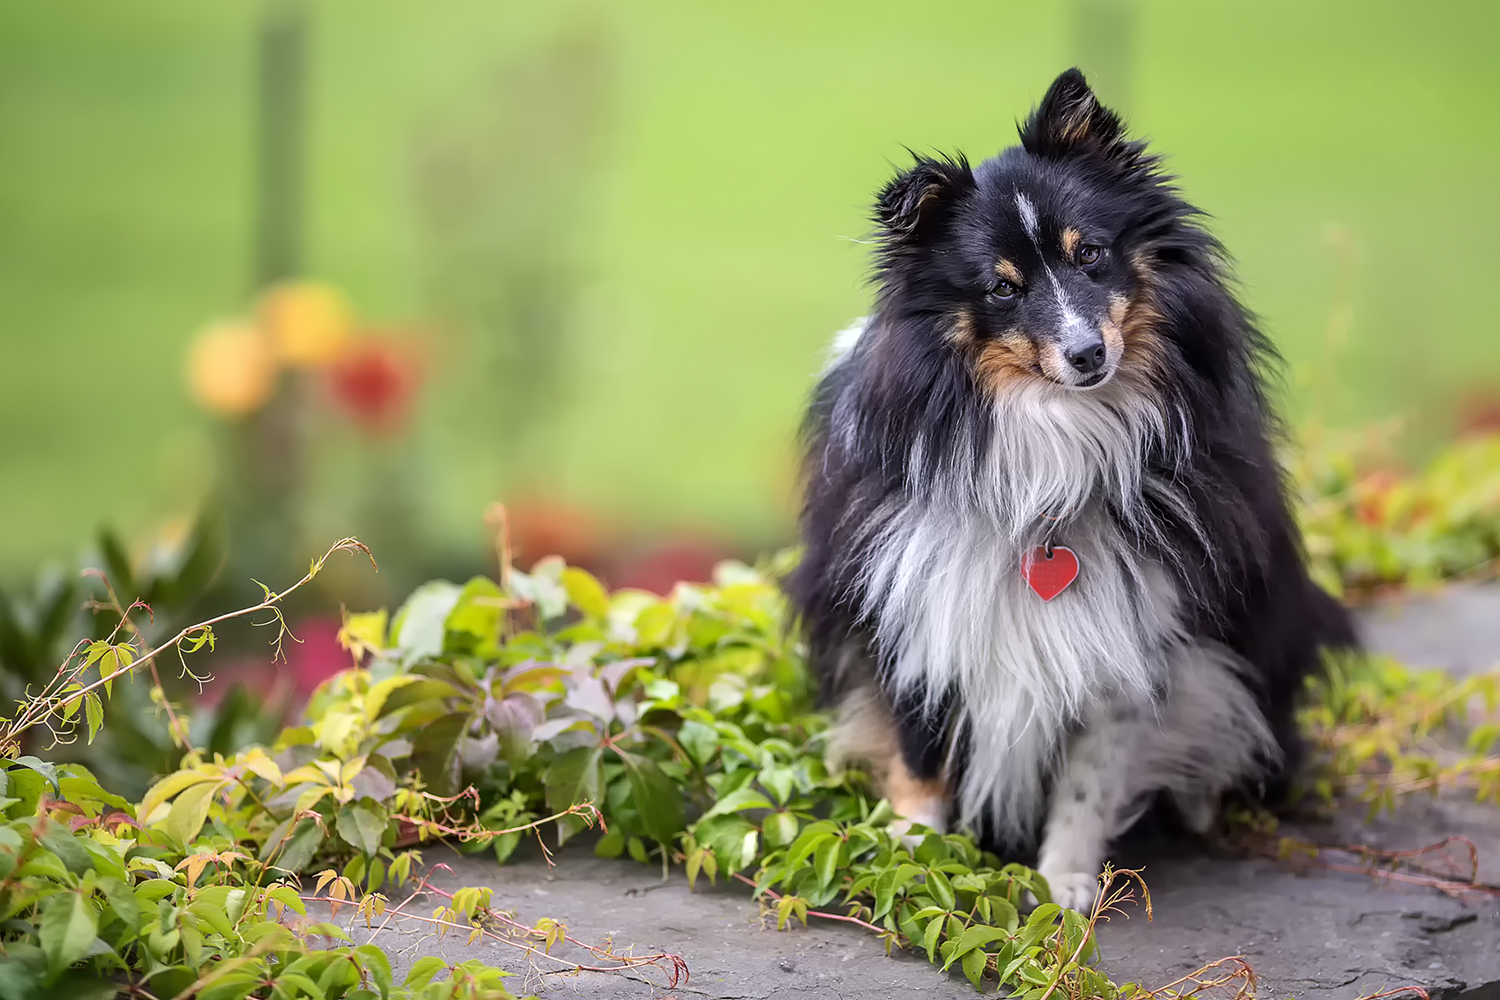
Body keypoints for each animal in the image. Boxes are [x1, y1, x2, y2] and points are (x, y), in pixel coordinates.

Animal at [792, 68, 1356, 917]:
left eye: (1090, 254)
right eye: (1001, 288)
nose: (1089, 355)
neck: (1055, 432)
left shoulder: (1136, 629)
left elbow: (1093, 774)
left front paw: (1064, 883)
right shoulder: (916, 603)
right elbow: (921, 751)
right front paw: (913, 850)